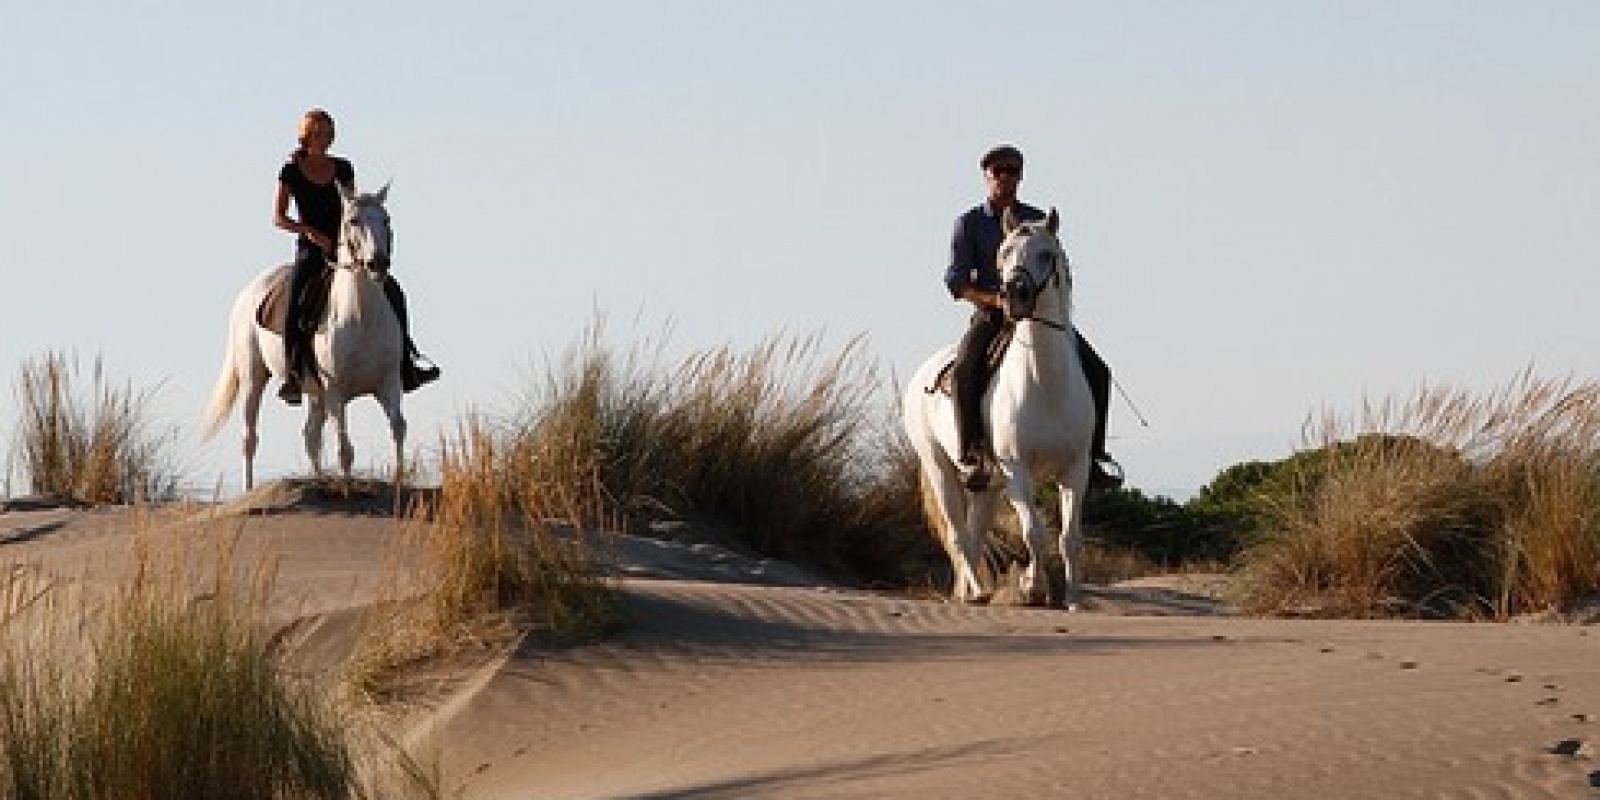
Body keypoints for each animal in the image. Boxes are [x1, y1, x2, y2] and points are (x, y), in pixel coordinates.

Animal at [203, 183, 406, 489]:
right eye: (353, 221)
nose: (378, 263)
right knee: (250, 438)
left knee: (310, 435)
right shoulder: (335, 391)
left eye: (387, 220)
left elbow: (398, 429)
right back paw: (249, 489)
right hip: (254, 377)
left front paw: (400, 482)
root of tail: (249, 291)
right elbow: (345, 448)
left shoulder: (389, 383)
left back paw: (318, 480)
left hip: (314, 391)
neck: (361, 318)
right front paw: (347, 490)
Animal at [908, 206, 1094, 604]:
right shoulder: (1016, 469)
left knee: (975, 534)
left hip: (988, 487)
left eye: (1046, 254)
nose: (1014, 295)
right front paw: (1032, 587)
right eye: (1004, 252)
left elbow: (1069, 539)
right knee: (959, 535)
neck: (1045, 384)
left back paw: (968, 593)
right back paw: (977, 592)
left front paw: (1072, 599)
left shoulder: (1076, 469)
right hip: (941, 470)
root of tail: (922, 374)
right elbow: (1033, 532)